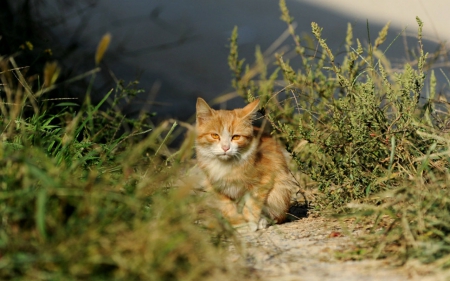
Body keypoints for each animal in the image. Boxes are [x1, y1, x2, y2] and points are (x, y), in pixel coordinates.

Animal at [195, 97, 298, 231]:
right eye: (214, 135)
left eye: (236, 137)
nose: (225, 148)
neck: (226, 166)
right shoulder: (215, 186)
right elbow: (227, 207)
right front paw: (238, 222)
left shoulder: (264, 180)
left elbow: (252, 204)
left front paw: (252, 223)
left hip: (280, 191)